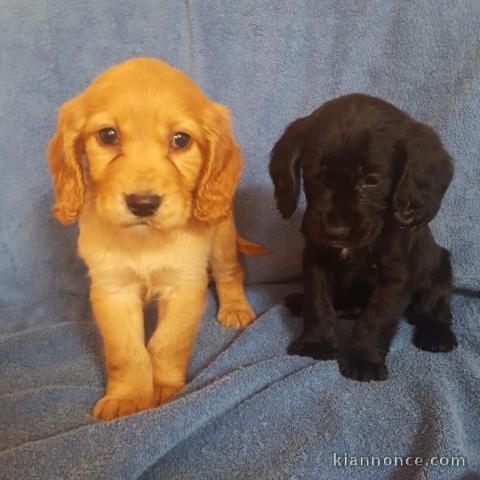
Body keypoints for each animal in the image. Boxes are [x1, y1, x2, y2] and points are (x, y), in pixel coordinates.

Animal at [47, 57, 264, 420]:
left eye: (181, 140)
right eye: (108, 135)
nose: (143, 203)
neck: (145, 240)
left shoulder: (184, 285)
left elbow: (167, 343)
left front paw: (164, 388)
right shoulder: (113, 288)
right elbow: (126, 351)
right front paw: (128, 397)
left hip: (221, 238)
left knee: (230, 271)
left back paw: (235, 307)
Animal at [270, 94, 458, 382]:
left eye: (371, 180)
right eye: (314, 173)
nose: (335, 231)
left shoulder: (395, 277)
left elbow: (377, 318)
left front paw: (363, 358)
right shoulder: (316, 259)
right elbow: (318, 302)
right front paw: (317, 342)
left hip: (439, 269)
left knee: (434, 309)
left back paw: (436, 335)